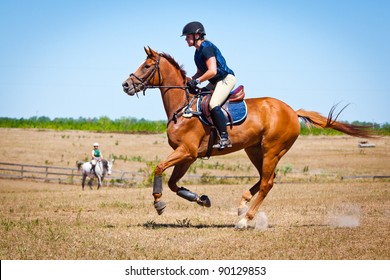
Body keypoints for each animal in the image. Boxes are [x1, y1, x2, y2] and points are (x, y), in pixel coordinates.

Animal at [122, 47, 372, 229]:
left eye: (146, 66)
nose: (125, 85)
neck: (183, 107)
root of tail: (292, 111)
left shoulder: (187, 151)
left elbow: (159, 168)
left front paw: (158, 203)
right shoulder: (189, 156)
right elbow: (174, 183)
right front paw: (201, 199)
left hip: (272, 150)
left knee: (267, 183)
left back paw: (244, 219)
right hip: (254, 150)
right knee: (264, 178)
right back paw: (242, 205)